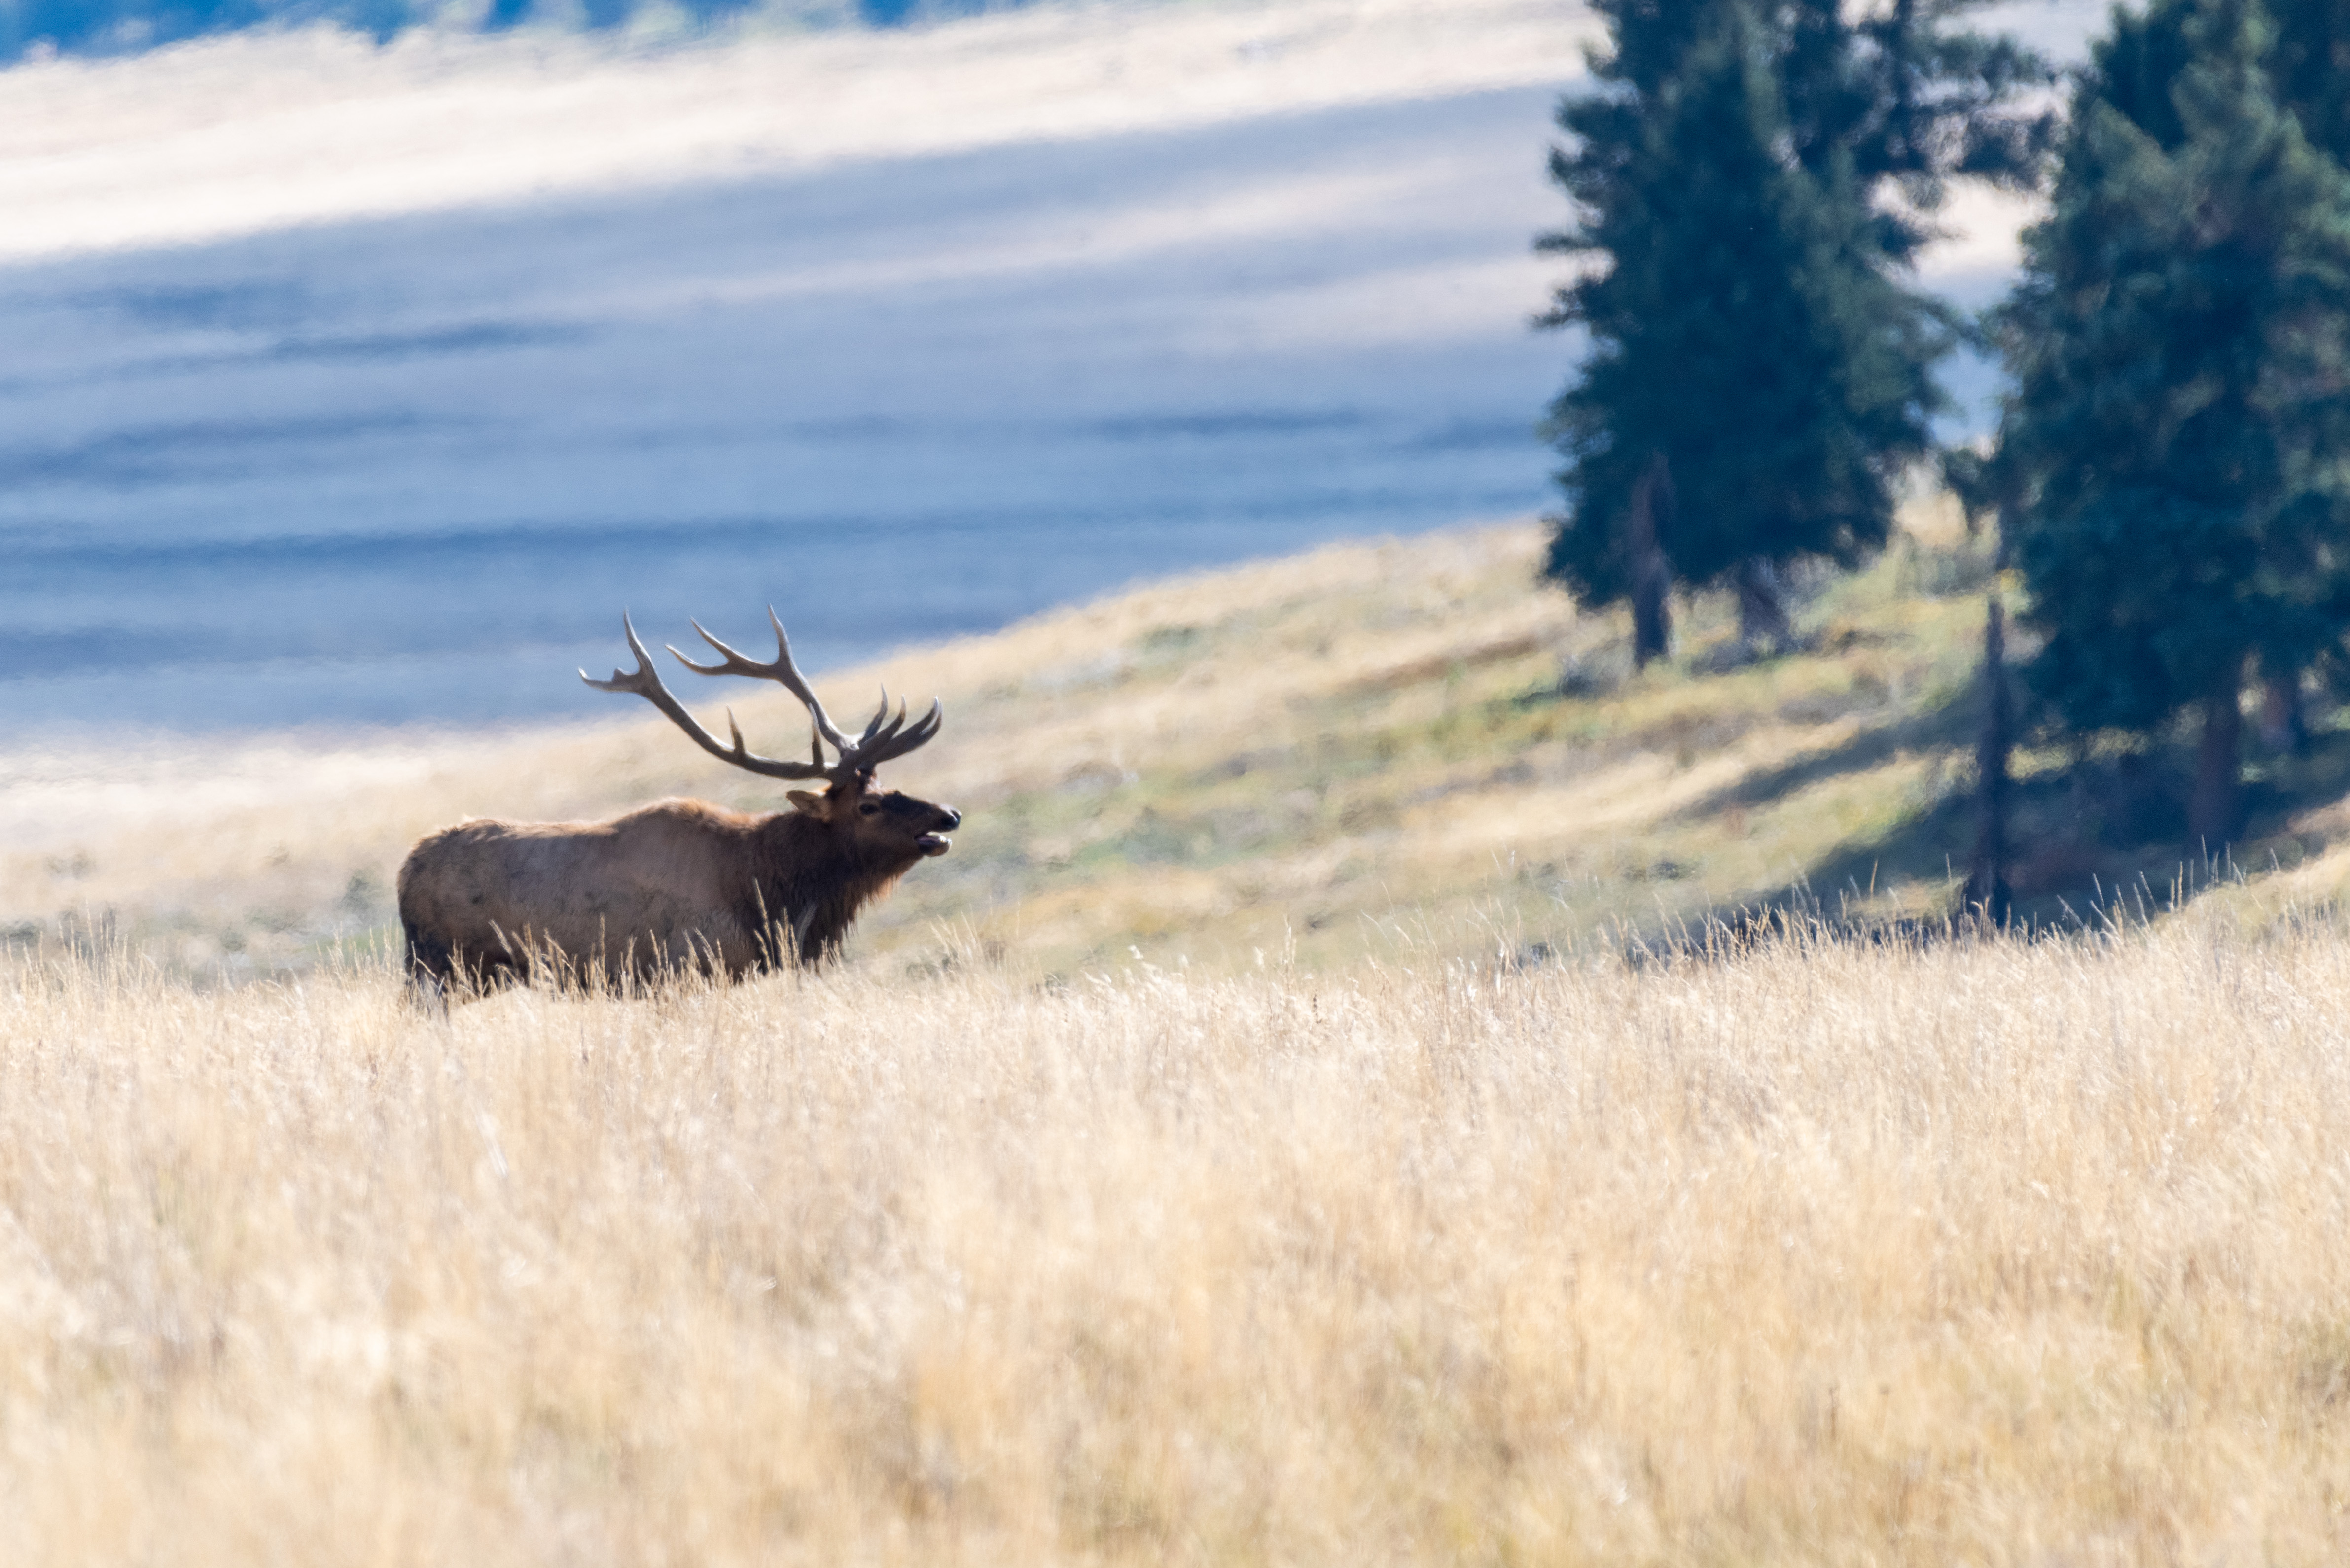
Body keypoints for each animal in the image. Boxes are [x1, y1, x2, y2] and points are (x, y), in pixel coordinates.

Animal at [397, 609, 960, 997]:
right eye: (868, 806)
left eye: (888, 784)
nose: (948, 815)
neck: (763, 889)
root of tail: (405, 872)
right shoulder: (684, 965)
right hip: (442, 968)